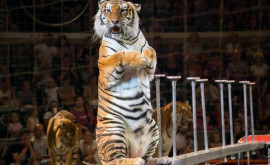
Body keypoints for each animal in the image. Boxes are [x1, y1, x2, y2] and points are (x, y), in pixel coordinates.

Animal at [93, 0, 169, 165]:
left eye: (122, 10)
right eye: (108, 10)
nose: (114, 21)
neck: (127, 38)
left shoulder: (149, 73)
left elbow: (151, 49)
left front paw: (147, 57)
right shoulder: (105, 67)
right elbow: (121, 54)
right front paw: (139, 58)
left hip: (154, 128)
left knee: (147, 159)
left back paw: (162, 159)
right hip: (114, 129)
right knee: (114, 160)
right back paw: (134, 161)